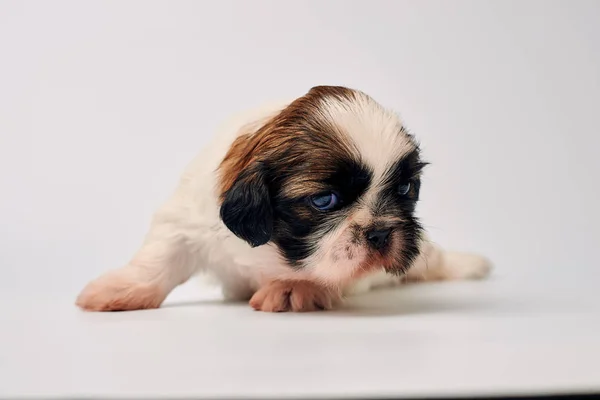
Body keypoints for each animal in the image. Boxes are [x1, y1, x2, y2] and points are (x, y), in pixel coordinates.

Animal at [77, 86, 490, 314]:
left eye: (405, 190)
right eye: (324, 200)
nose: (380, 233)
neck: (270, 251)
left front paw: (297, 287)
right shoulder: (187, 218)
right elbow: (160, 256)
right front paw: (122, 288)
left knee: (434, 259)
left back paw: (470, 264)